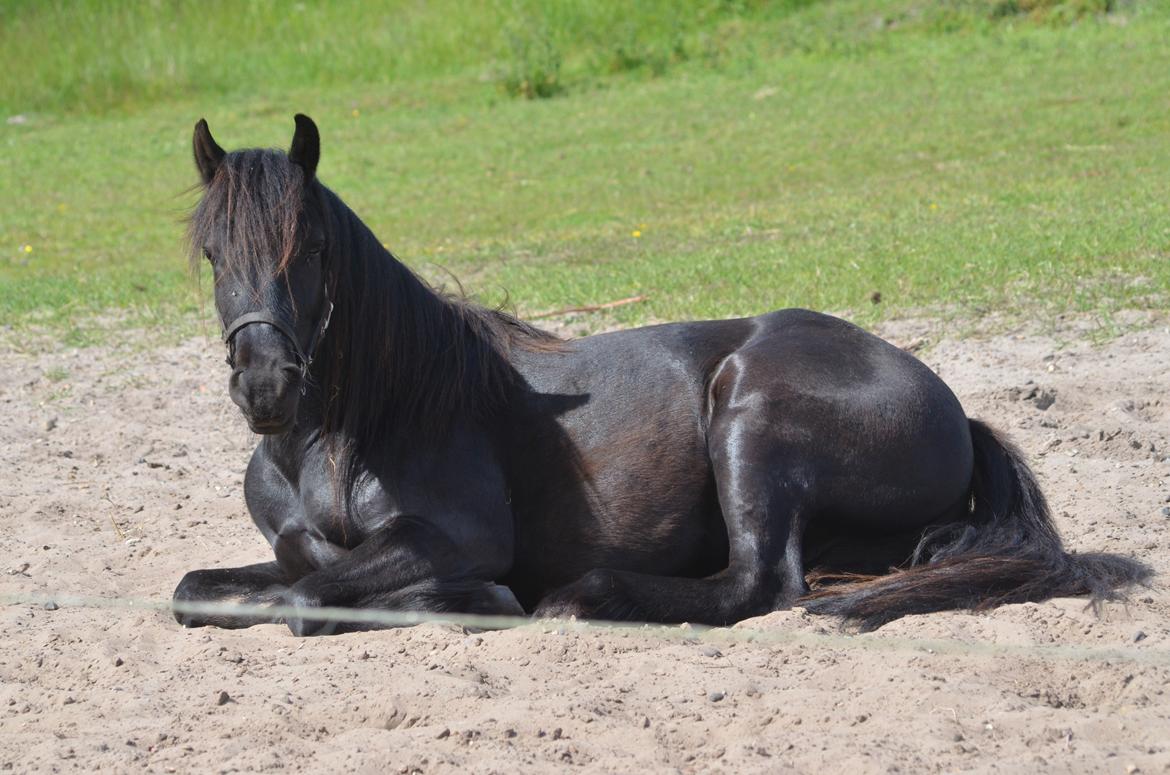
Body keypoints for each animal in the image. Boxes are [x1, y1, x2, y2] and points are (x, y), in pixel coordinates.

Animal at [170, 115, 1141, 636]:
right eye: (213, 254)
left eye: (311, 250)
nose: (266, 387)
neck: (354, 431)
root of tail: (954, 408)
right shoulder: (291, 548)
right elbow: (203, 589)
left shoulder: (454, 536)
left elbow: (308, 597)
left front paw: (482, 596)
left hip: (750, 414)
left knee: (760, 583)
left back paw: (586, 594)